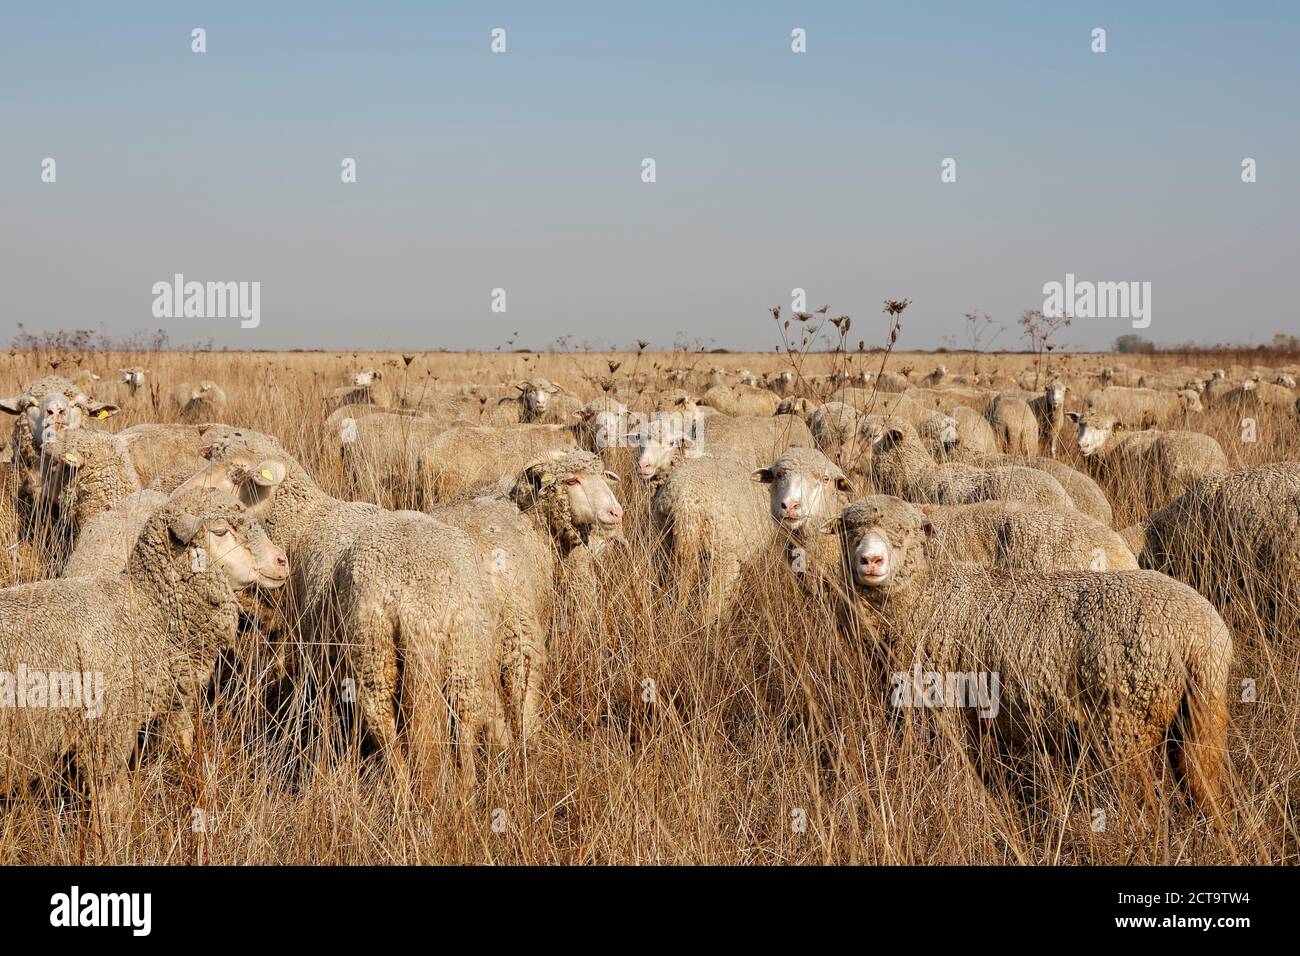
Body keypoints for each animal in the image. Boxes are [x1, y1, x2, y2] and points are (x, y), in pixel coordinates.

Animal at [821, 496, 1237, 811]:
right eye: (850, 529)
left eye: (905, 533)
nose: (871, 561)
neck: (924, 596)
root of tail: (1202, 635)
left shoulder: (941, 712)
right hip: (1201, 716)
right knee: (1204, 783)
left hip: (1126, 723)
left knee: (1144, 800)